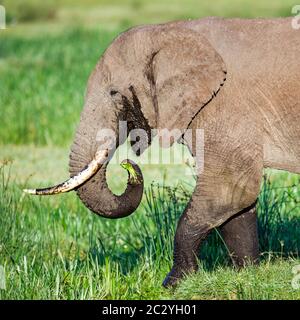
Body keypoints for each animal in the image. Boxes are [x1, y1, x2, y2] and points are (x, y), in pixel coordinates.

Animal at [25, 16, 300, 288]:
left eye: (115, 93)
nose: (127, 165)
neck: (172, 30)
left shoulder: (224, 105)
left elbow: (228, 187)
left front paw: (173, 282)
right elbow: (239, 202)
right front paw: (248, 275)